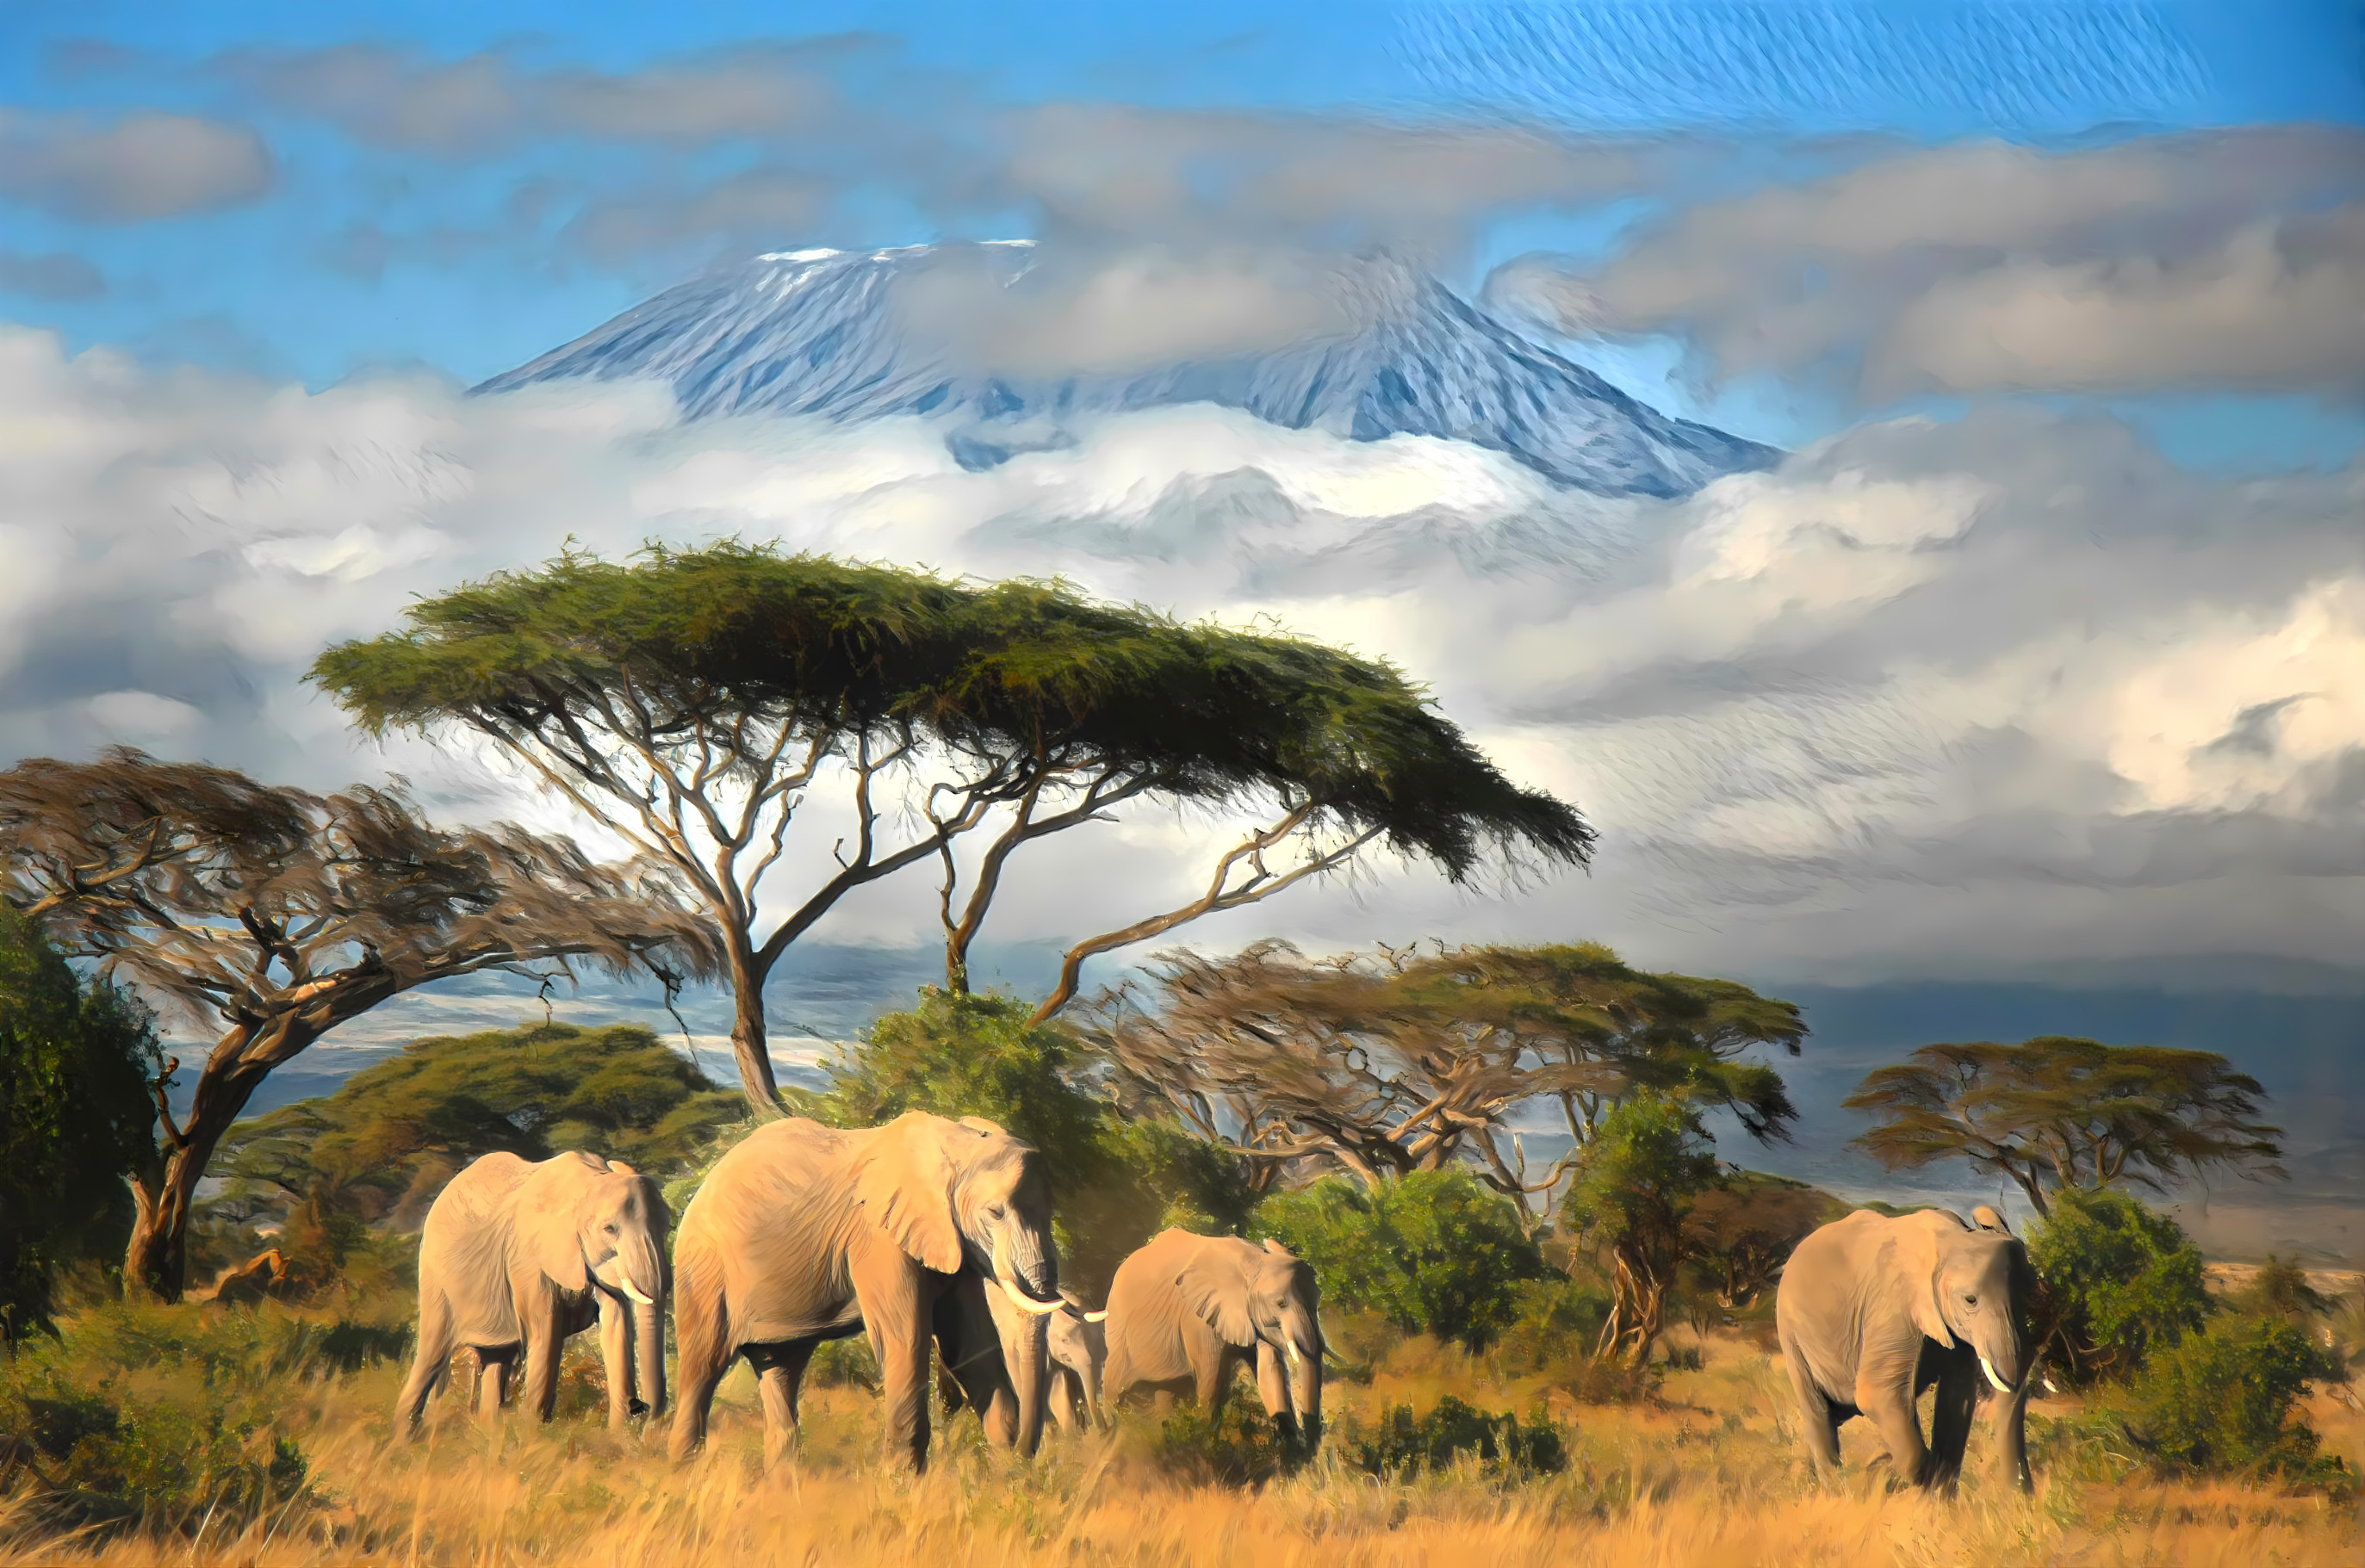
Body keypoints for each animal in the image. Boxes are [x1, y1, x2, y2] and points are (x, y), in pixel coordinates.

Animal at [671, 1111, 1069, 1466]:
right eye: (995, 1213)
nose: (1023, 1456)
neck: (956, 1143)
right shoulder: (878, 1239)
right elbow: (906, 1340)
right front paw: (903, 1486)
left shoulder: (956, 1243)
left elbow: (969, 1346)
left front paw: (1003, 1475)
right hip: (704, 1268)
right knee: (703, 1364)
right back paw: (682, 1474)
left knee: (781, 1371)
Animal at [1097, 1239, 1324, 1447]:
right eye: (1280, 1303)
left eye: (1317, 1299)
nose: (1303, 1423)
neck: (1253, 1261)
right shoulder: (1196, 1319)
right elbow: (1211, 1378)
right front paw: (1204, 1442)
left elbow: (1270, 1370)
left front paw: (1291, 1446)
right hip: (1118, 1332)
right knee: (1114, 1387)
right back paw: (1113, 1434)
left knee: (1165, 1390)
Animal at [1778, 1201, 2033, 1494]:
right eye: (1971, 1300)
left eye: (2030, 1295)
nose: (2021, 1493)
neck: (1954, 1239)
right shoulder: (1892, 1304)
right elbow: (1874, 1394)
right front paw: (1880, 1472)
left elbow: (1957, 1398)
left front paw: (1935, 1496)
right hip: (1791, 1334)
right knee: (1818, 1412)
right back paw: (1838, 1493)